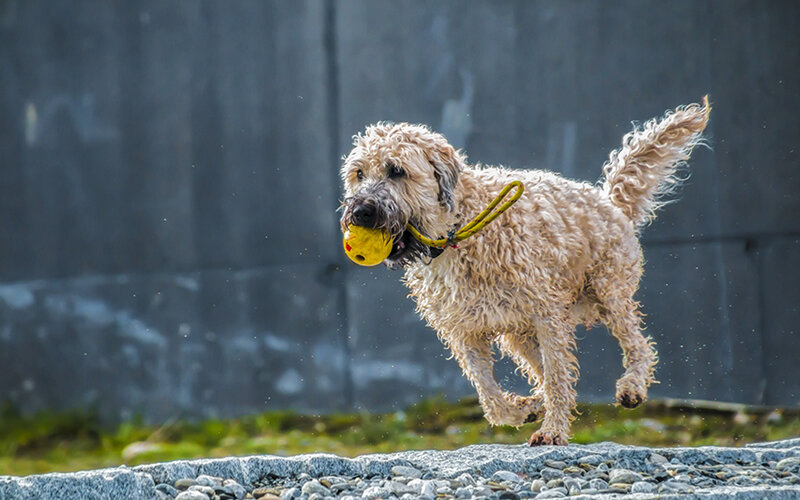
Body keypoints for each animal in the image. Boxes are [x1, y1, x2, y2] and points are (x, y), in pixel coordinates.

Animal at [338, 98, 712, 446]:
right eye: (359, 173)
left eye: (396, 171)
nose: (360, 212)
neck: (459, 230)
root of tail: (608, 202)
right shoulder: (464, 331)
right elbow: (490, 394)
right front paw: (524, 410)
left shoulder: (547, 315)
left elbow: (558, 377)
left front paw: (553, 430)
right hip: (520, 334)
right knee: (549, 370)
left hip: (609, 293)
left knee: (638, 345)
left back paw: (632, 387)